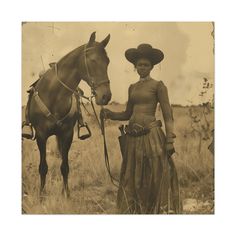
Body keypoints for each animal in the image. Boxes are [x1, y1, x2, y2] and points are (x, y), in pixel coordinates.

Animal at [27, 31, 112, 197]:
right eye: (93, 60)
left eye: (107, 62)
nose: (106, 96)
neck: (54, 95)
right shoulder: (41, 135)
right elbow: (43, 167)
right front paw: (41, 195)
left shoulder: (67, 134)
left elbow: (65, 167)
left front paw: (66, 194)